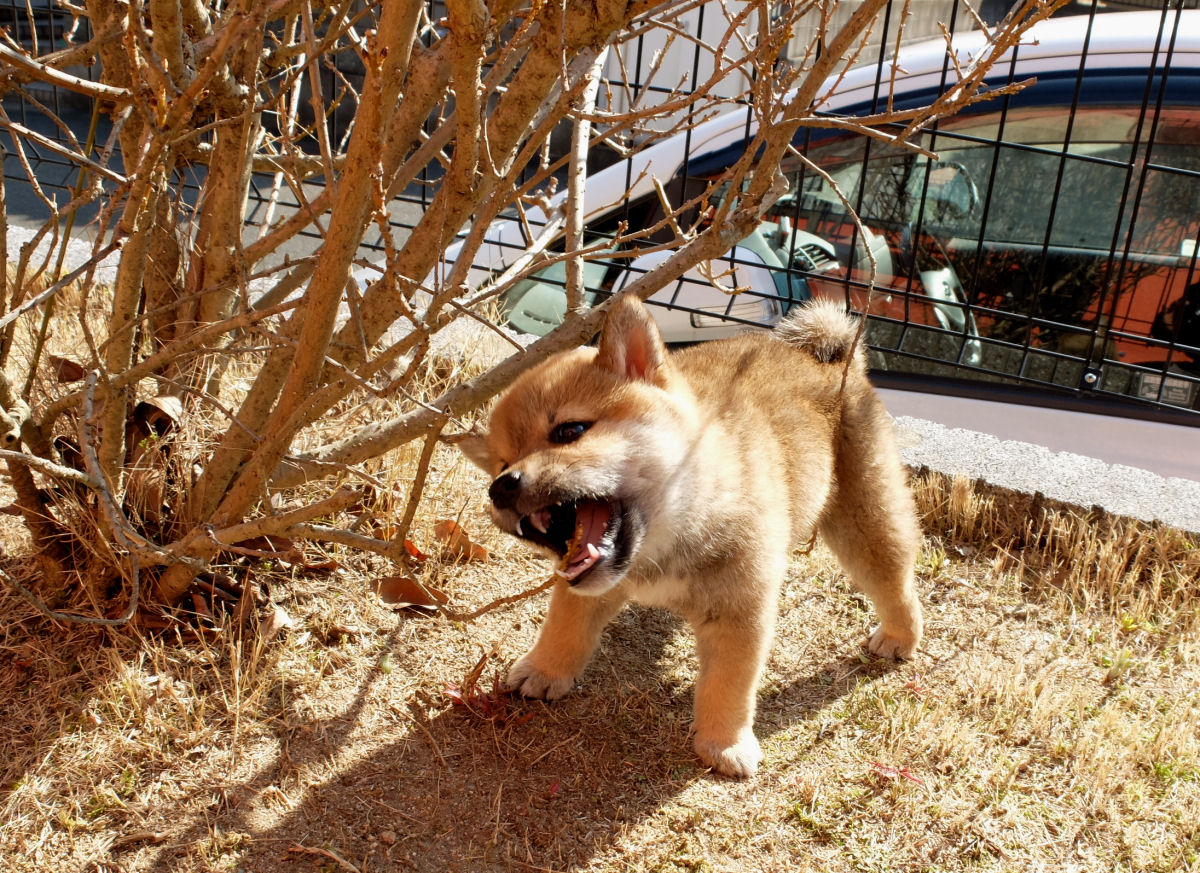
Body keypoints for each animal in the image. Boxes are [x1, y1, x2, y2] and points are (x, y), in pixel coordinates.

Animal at [458, 294, 922, 777]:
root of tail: (825, 360)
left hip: (864, 520)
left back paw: (900, 636)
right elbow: (563, 628)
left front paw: (724, 743)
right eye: (500, 464)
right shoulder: (582, 586)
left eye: (570, 431)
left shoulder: (740, 610)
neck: (662, 543)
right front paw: (545, 670)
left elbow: (728, 684)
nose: (500, 487)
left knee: (893, 580)